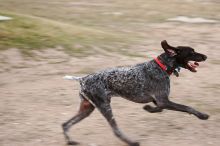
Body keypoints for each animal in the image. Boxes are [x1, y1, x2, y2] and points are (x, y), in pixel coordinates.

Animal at [62, 40, 210, 146]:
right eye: (191, 52)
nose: (205, 56)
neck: (162, 66)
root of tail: (83, 79)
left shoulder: (159, 101)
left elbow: (158, 109)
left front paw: (148, 108)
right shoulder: (163, 100)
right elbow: (187, 107)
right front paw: (202, 115)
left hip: (87, 109)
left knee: (65, 124)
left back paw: (70, 141)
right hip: (104, 107)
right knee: (116, 130)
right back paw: (132, 142)